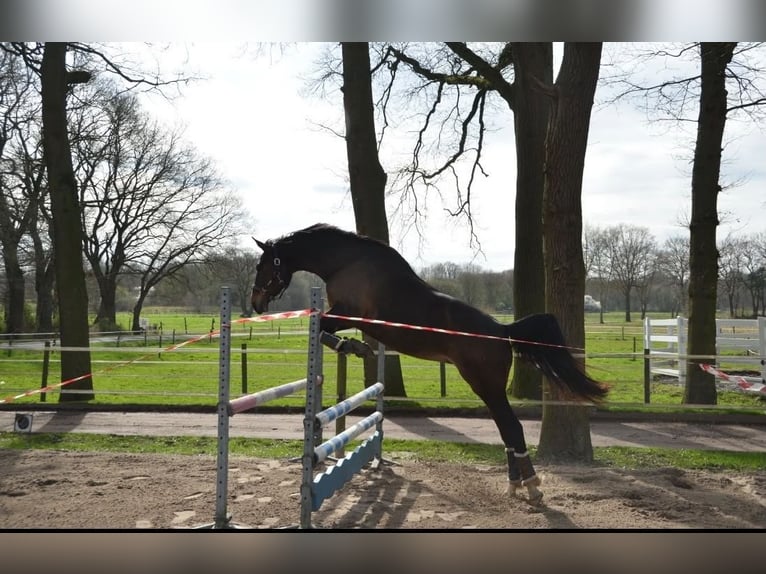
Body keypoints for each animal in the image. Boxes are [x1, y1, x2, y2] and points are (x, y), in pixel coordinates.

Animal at [251, 223, 608, 504]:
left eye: (262, 266)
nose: (255, 304)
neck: (345, 262)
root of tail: (502, 330)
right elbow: (323, 327)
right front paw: (355, 347)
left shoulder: (348, 313)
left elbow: (321, 326)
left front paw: (351, 346)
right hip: (486, 388)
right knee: (506, 429)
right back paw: (515, 485)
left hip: (486, 385)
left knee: (512, 427)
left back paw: (531, 487)